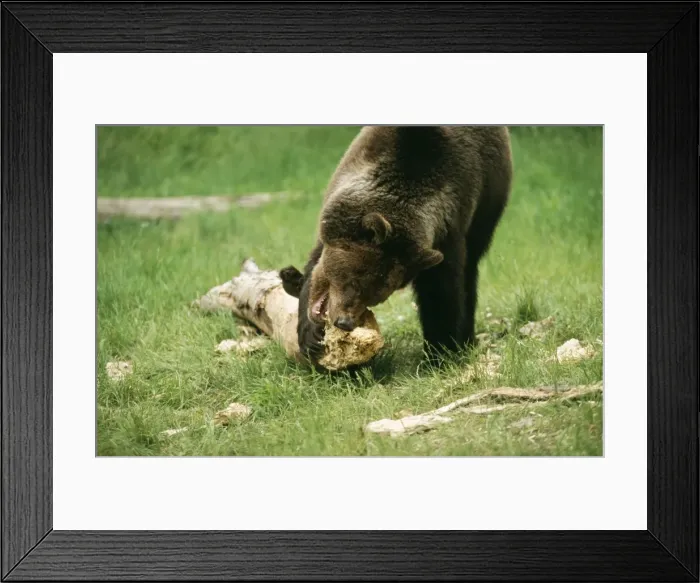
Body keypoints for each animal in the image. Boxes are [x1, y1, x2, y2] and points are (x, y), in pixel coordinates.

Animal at [280, 126, 513, 365]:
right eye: (353, 281)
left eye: (376, 296)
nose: (344, 322)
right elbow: (316, 261)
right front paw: (310, 334)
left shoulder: (450, 232)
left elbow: (441, 294)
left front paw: (440, 352)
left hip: (488, 203)